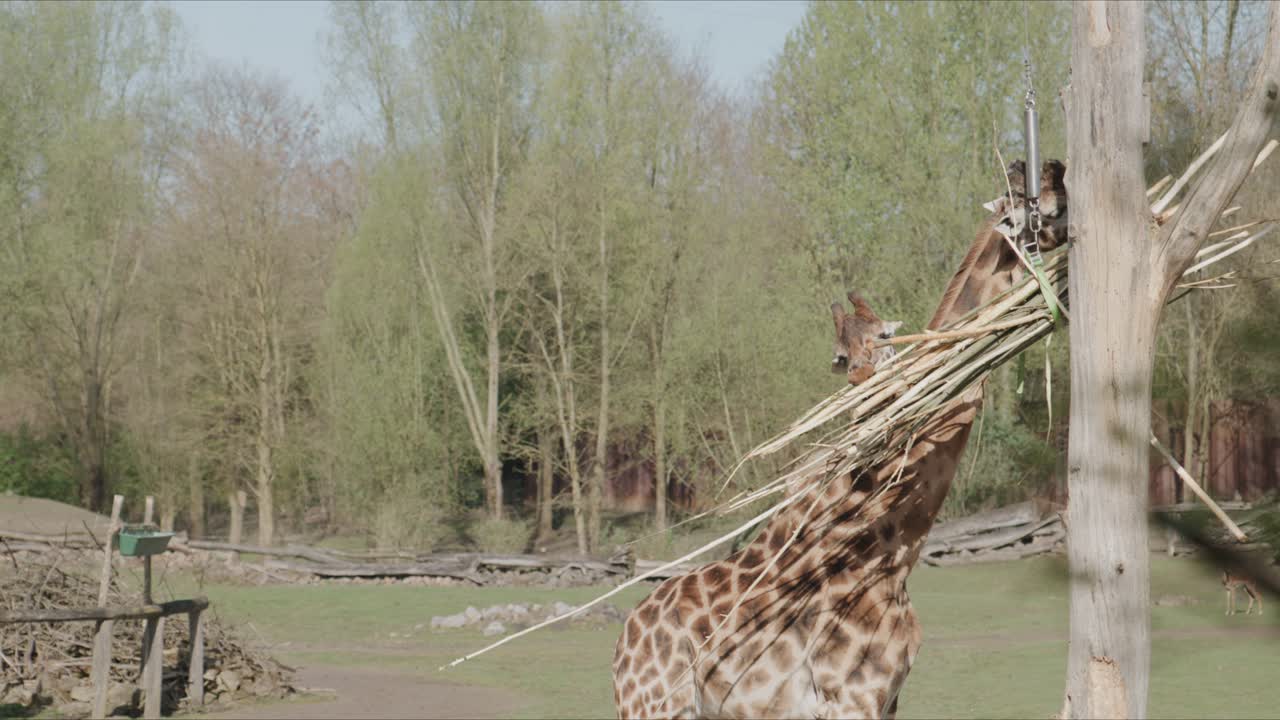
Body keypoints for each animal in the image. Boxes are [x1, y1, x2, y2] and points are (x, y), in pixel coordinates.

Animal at [612, 160, 1068, 720]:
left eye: (887, 336)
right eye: (1041, 201)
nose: (1056, 170)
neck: (890, 550)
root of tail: (622, 645)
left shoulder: (888, 698)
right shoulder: (849, 697)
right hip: (655, 705)